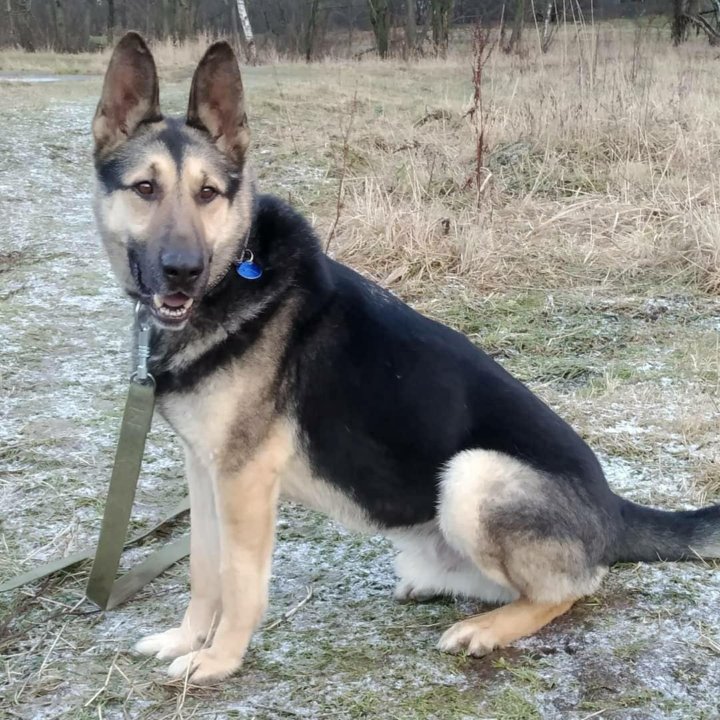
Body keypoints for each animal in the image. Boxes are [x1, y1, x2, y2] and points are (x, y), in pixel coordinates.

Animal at [91, 35, 720, 688]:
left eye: (208, 193)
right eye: (145, 189)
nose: (182, 271)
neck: (232, 280)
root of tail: (613, 508)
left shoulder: (244, 481)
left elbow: (238, 583)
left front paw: (218, 659)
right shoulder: (206, 469)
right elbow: (204, 569)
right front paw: (186, 639)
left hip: (474, 476)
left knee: (574, 587)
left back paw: (487, 629)